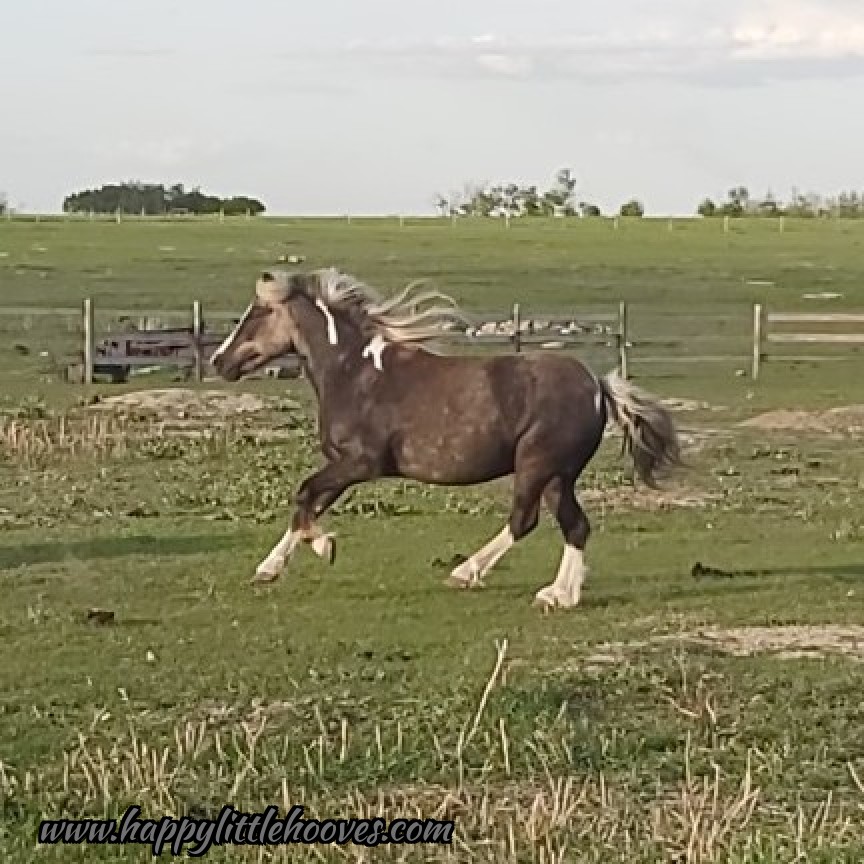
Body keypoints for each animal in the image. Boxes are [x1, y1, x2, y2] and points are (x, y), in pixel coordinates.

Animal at [210, 268, 681, 610]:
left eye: (255, 314)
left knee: (525, 520)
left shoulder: (361, 463)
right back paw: (558, 595)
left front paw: (326, 546)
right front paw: (270, 568)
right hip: (557, 476)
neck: (353, 373)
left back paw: (471, 574)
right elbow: (308, 504)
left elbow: (305, 493)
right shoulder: (343, 466)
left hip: (538, 465)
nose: (219, 361)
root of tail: (597, 386)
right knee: (574, 525)